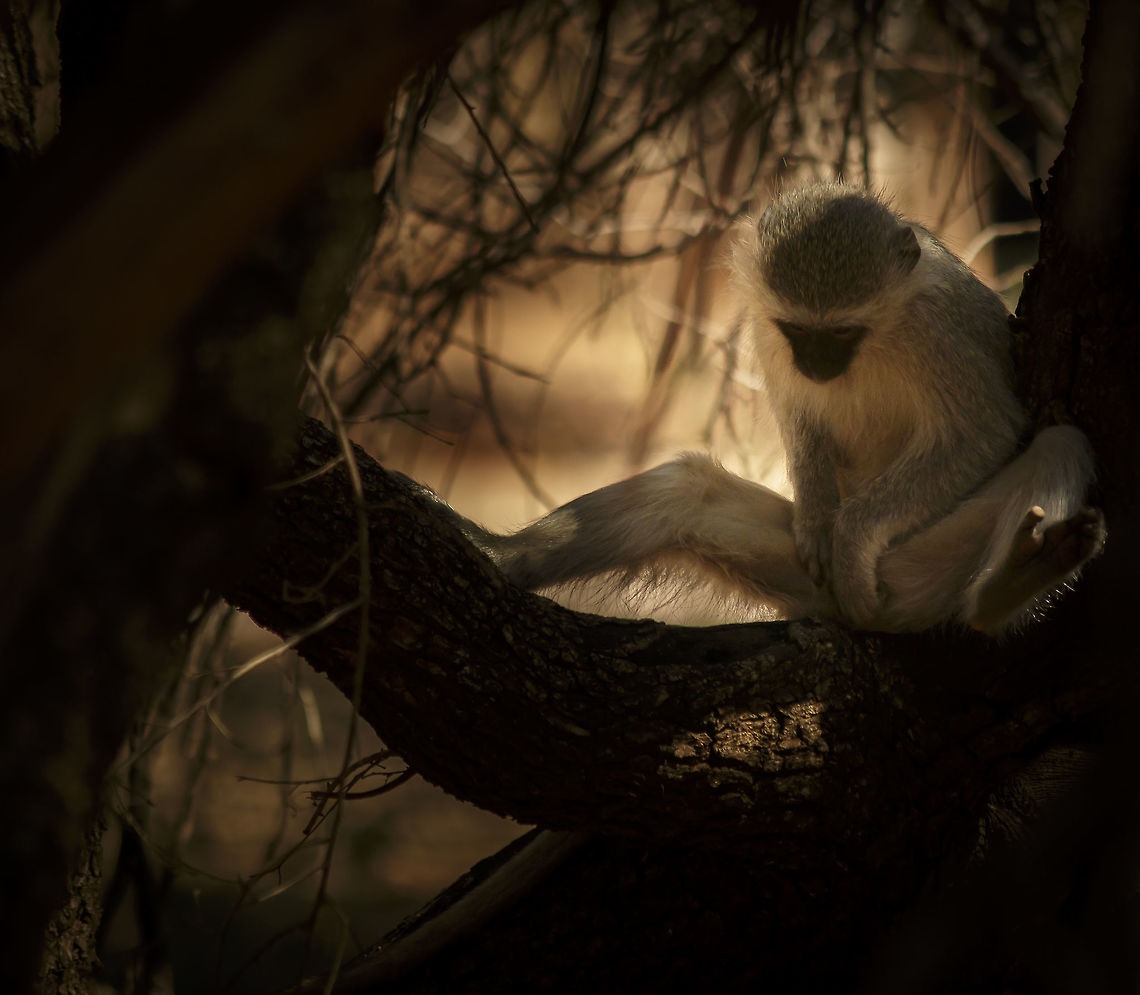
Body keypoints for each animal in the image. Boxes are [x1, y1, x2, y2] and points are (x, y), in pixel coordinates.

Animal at [460, 183, 1104, 634]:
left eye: (842, 331)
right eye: (797, 329)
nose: (815, 365)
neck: (881, 332)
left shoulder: (937, 330)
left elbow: (984, 432)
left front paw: (849, 541)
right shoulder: (767, 331)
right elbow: (801, 417)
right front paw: (820, 522)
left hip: (927, 570)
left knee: (1060, 444)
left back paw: (1005, 590)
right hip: (805, 576)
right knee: (685, 490)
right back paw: (502, 555)